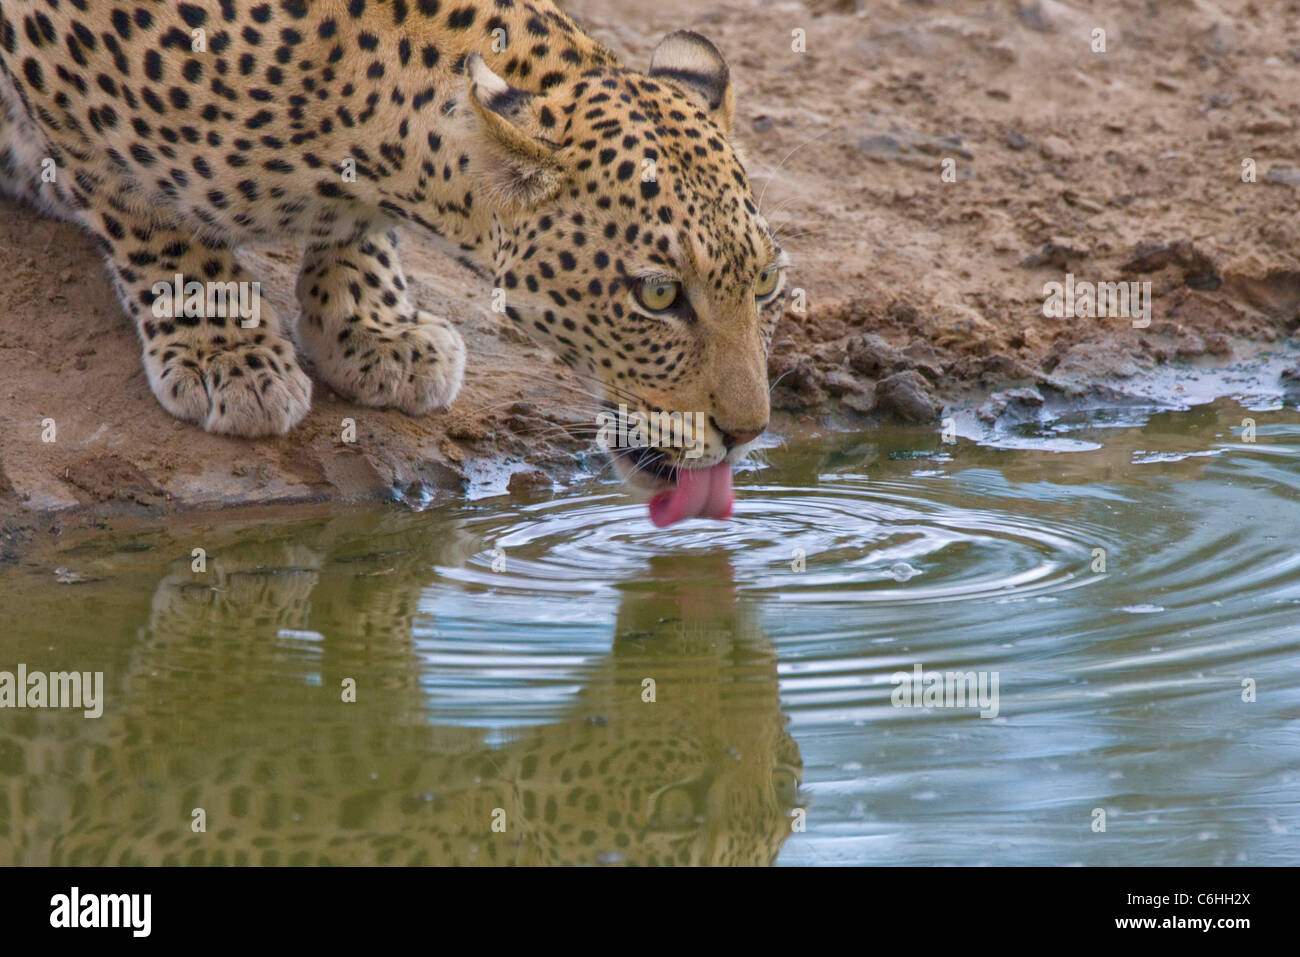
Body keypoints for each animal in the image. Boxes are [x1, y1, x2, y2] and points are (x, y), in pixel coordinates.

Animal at [0, 0, 785, 494]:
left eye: (767, 283)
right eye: (657, 294)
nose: (748, 434)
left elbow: (355, 230)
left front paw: (373, 324)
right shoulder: (58, 66)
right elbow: (142, 211)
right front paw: (223, 349)